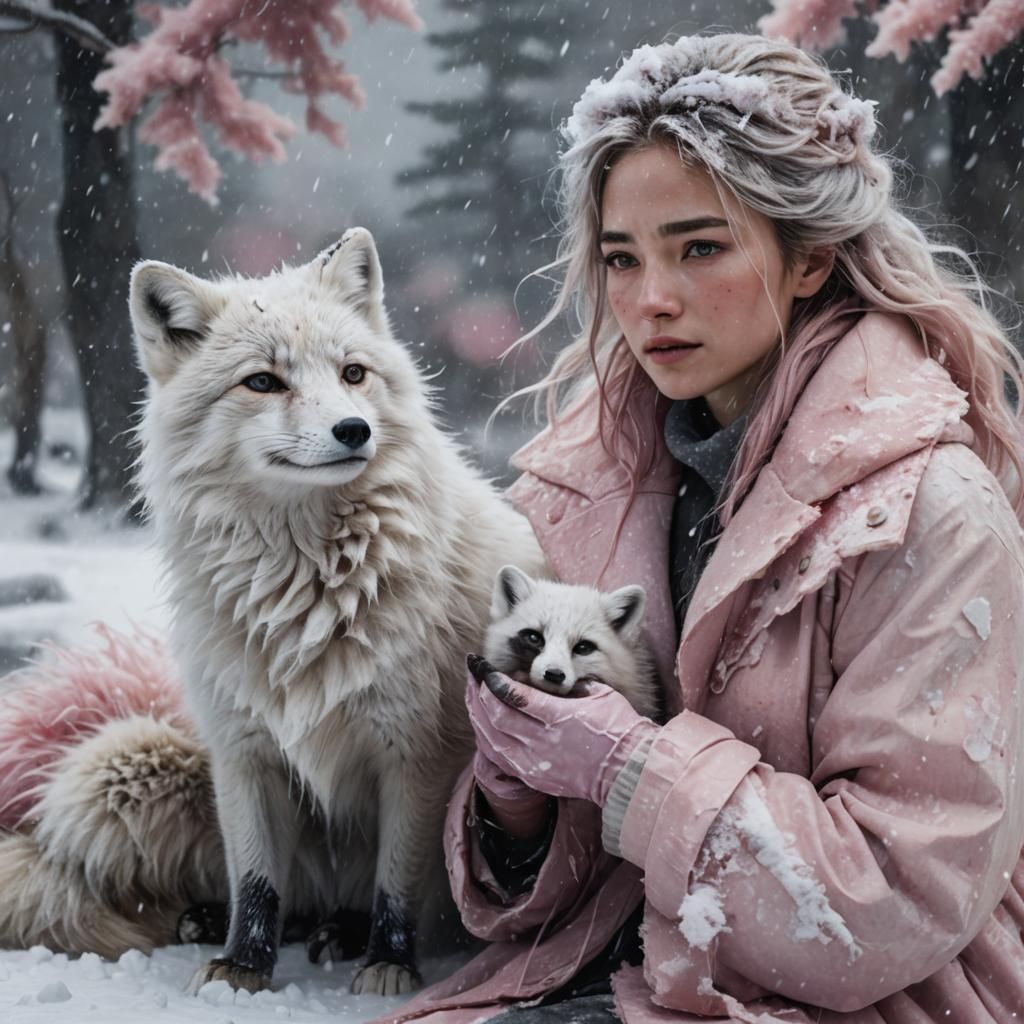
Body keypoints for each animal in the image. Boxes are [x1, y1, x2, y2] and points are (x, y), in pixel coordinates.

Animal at [128, 228, 547, 997]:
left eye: (353, 374)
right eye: (263, 382)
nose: (353, 429)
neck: (307, 593)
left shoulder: (416, 754)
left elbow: (397, 881)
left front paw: (389, 961)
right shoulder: (244, 752)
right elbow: (256, 880)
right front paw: (244, 965)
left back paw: (343, 933)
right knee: (290, 896)